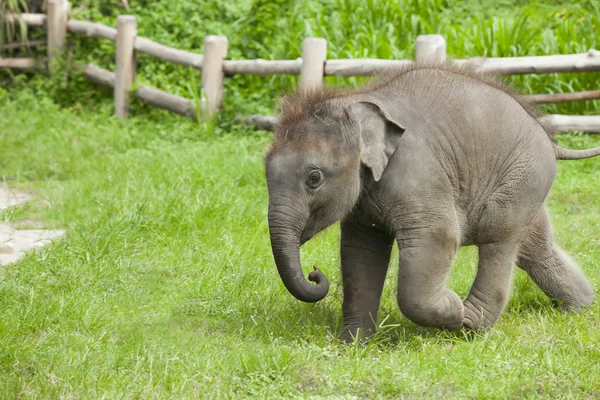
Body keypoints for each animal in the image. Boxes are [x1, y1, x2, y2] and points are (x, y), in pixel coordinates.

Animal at [264, 63, 596, 340]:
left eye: (314, 178)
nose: (314, 273)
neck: (354, 102)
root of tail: (548, 137)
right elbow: (360, 250)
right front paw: (354, 343)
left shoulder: (416, 169)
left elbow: (440, 235)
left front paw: (452, 308)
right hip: (527, 184)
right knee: (533, 246)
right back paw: (579, 308)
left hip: (524, 174)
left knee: (499, 234)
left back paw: (470, 323)